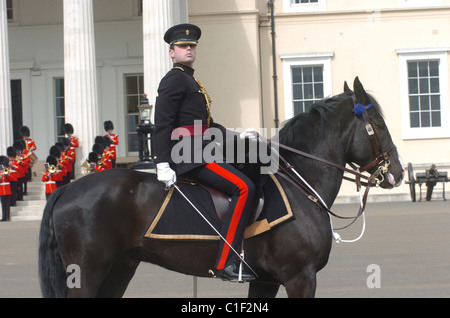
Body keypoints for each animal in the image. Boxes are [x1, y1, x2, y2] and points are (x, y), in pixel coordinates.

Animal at [38, 77, 404, 298]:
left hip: (120, 268)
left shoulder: (266, 280)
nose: (398, 174)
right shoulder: (300, 277)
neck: (300, 184)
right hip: (88, 272)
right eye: (379, 123)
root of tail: (68, 189)